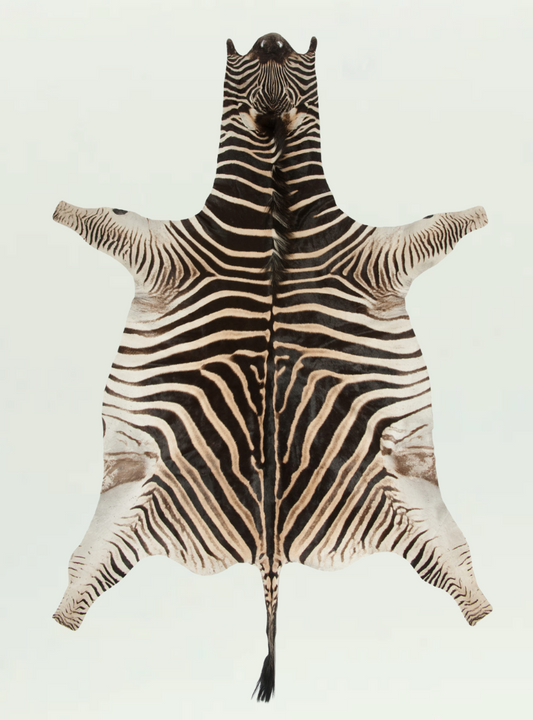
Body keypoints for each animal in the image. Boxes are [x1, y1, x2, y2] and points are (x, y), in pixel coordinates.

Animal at [53, 33, 491, 701]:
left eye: (298, 61)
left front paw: (479, 214)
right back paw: (63, 612)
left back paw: (481, 606)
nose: (272, 39)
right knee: (87, 565)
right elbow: (103, 216)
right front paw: (60, 208)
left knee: (453, 561)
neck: (273, 200)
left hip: (402, 497)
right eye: (247, 58)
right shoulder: (167, 250)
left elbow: (437, 225)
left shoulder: (374, 254)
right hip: (137, 497)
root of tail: (269, 547)